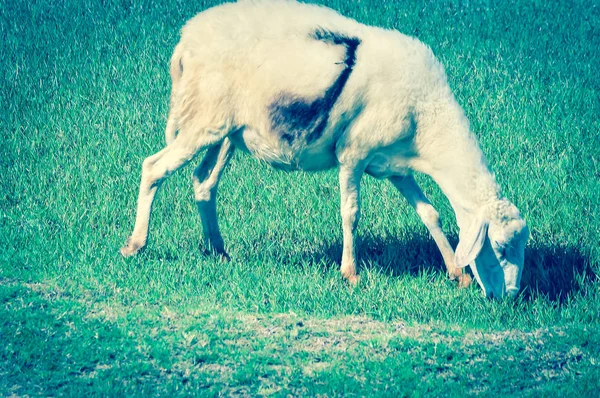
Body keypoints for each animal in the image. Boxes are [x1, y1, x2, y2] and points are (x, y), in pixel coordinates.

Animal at [119, 0, 528, 298]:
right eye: (501, 247)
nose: (509, 298)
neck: (427, 121)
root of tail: (186, 40)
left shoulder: (394, 165)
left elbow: (430, 215)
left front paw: (456, 272)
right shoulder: (354, 154)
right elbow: (351, 213)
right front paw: (351, 274)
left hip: (225, 132)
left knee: (204, 182)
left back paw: (219, 251)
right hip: (202, 121)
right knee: (153, 168)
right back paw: (135, 245)